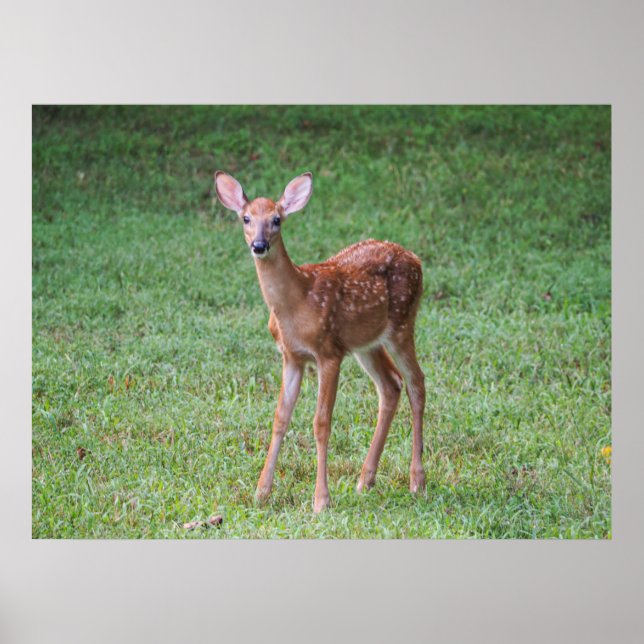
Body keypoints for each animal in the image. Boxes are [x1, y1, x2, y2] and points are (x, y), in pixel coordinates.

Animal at [215, 171, 426, 512]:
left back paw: (417, 480)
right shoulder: (291, 357)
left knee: (416, 383)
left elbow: (321, 422)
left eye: (277, 220)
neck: (298, 302)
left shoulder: (328, 353)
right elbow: (280, 418)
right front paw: (261, 492)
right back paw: (365, 480)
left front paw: (321, 500)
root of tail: (417, 258)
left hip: (403, 324)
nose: (259, 245)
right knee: (391, 385)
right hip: (367, 343)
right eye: (246, 218)